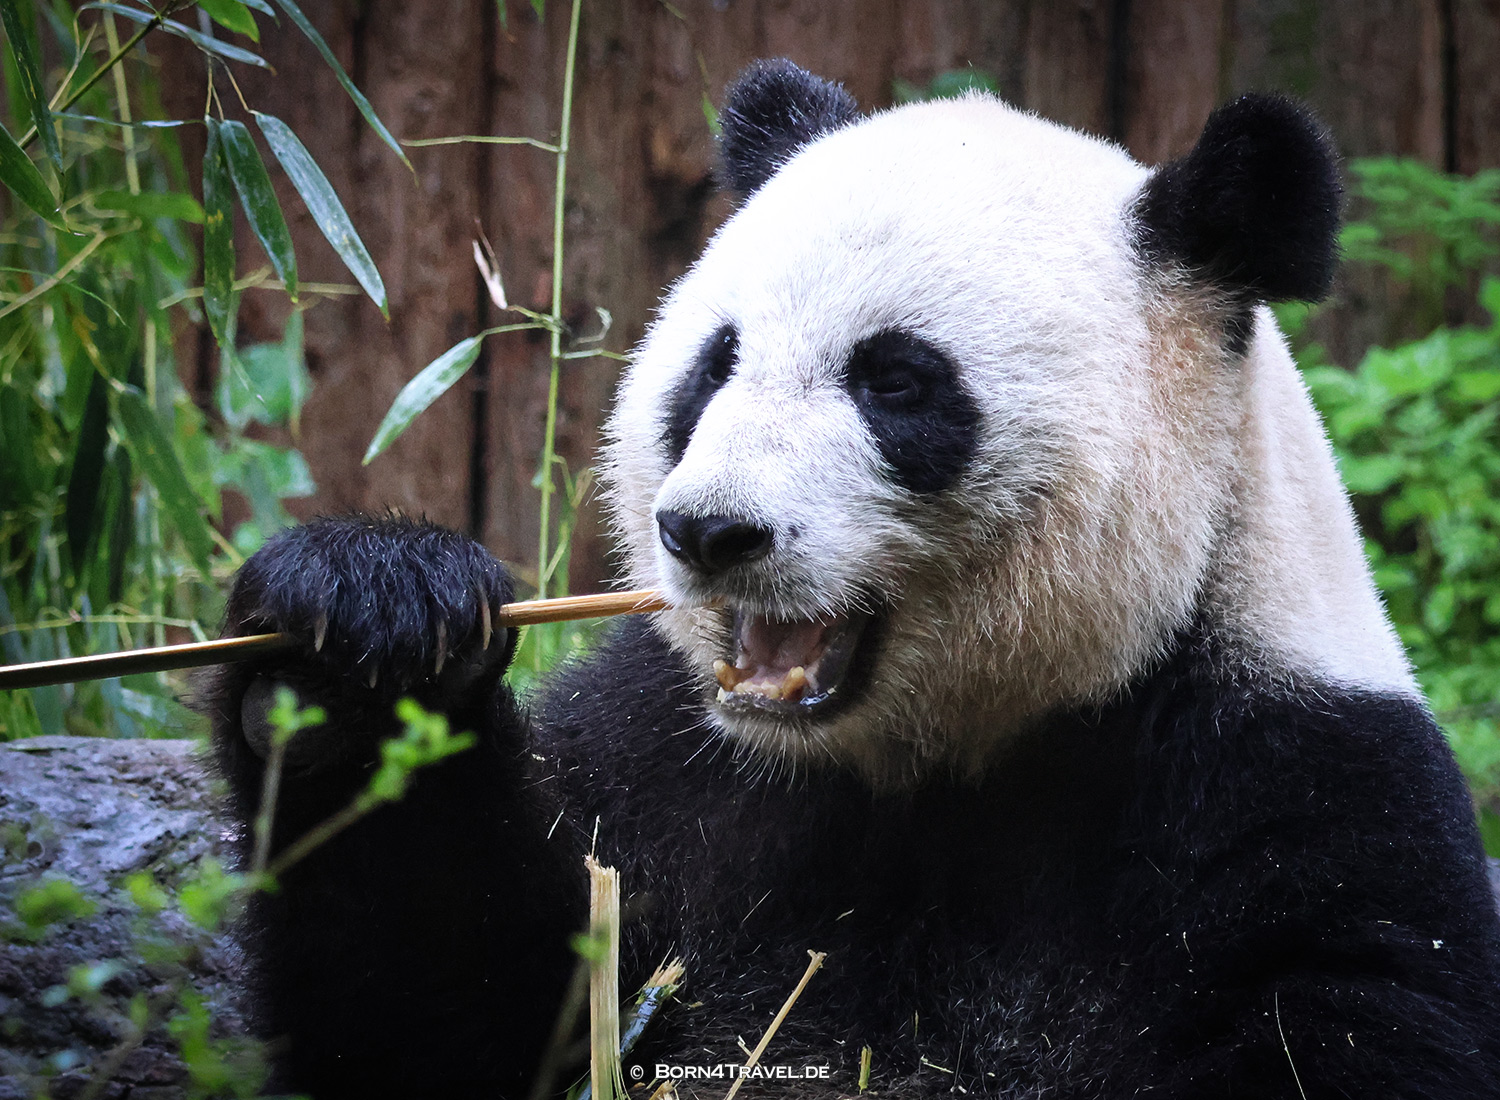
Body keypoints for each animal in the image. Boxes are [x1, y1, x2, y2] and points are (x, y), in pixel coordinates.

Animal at [209, 60, 1500, 1099]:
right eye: (715, 361)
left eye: (896, 380)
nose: (709, 530)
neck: (933, 762)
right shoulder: (665, 767)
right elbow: (456, 1014)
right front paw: (357, 636)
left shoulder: (1297, 807)